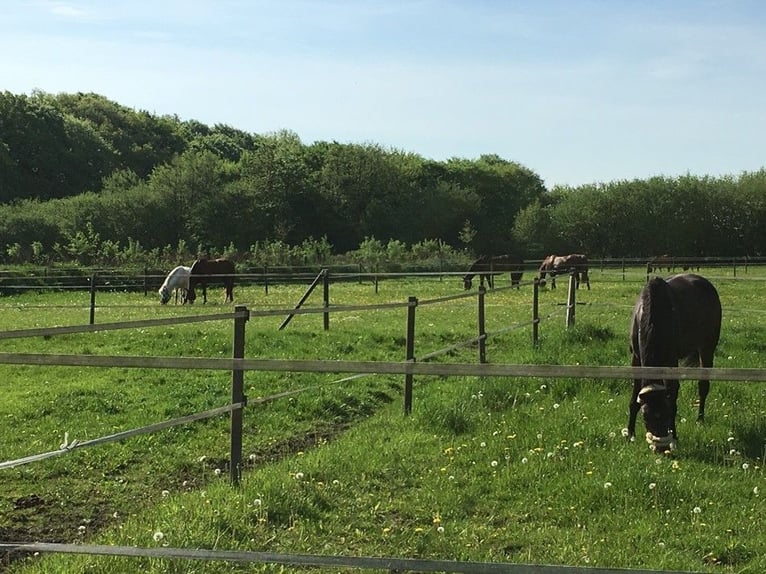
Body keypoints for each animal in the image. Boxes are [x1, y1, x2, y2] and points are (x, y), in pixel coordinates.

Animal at [627, 274, 721, 452]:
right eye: (646, 416)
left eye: (666, 414)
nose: (661, 448)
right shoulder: (636, 359)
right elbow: (634, 397)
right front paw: (630, 435)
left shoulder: (671, 360)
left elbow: (673, 396)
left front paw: (675, 437)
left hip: (707, 348)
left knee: (703, 386)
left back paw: (700, 419)